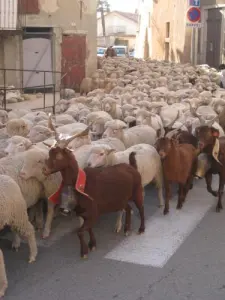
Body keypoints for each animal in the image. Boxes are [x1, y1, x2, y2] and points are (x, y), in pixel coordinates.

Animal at [42, 114, 145, 258]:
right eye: (49, 152)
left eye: (59, 155)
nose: (44, 170)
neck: (81, 183)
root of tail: (132, 167)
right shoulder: (84, 213)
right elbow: (87, 229)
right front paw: (92, 244)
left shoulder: (93, 212)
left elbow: (80, 232)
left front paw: (84, 251)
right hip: (121, 199)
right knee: (128, 208)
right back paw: (126, 229)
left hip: (137, 192)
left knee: (141, 208)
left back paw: (141, 229)